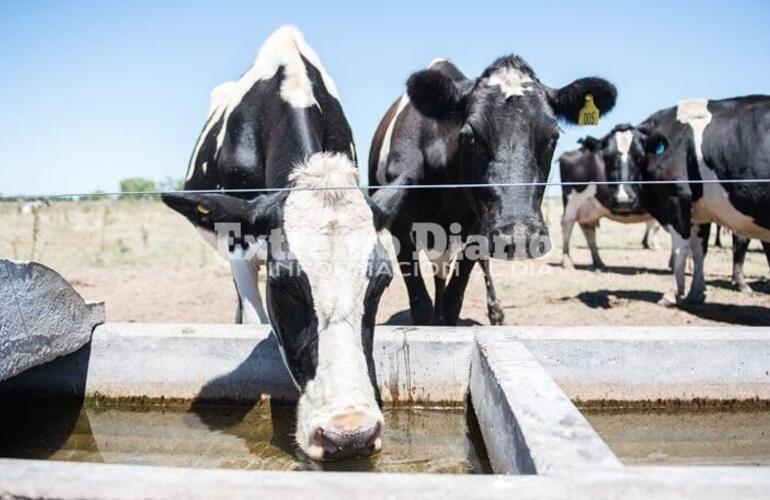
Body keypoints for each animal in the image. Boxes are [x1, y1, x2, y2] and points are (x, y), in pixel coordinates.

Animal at [368, 56, 616, 326]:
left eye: (554, 136)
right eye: (468, 135)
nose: (519, 236)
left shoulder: (478, 229)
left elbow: (453, 300)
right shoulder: (399, 226)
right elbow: (421, 306)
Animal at [560, 127, 660, 272]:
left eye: (641, 157)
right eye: (607, 157)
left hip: (589, 207)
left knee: (588, 229)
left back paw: (599, 262)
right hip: (573, 202)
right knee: (567, 224)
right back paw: (567, 261)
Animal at [608, 95, 768, 302]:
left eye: (639, 156)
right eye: (608, 157)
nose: (623, 200)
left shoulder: (677, 199)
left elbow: (681, 248)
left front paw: (672, 294)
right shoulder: (700, 210)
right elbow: (699, 249)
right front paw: (695, 292)